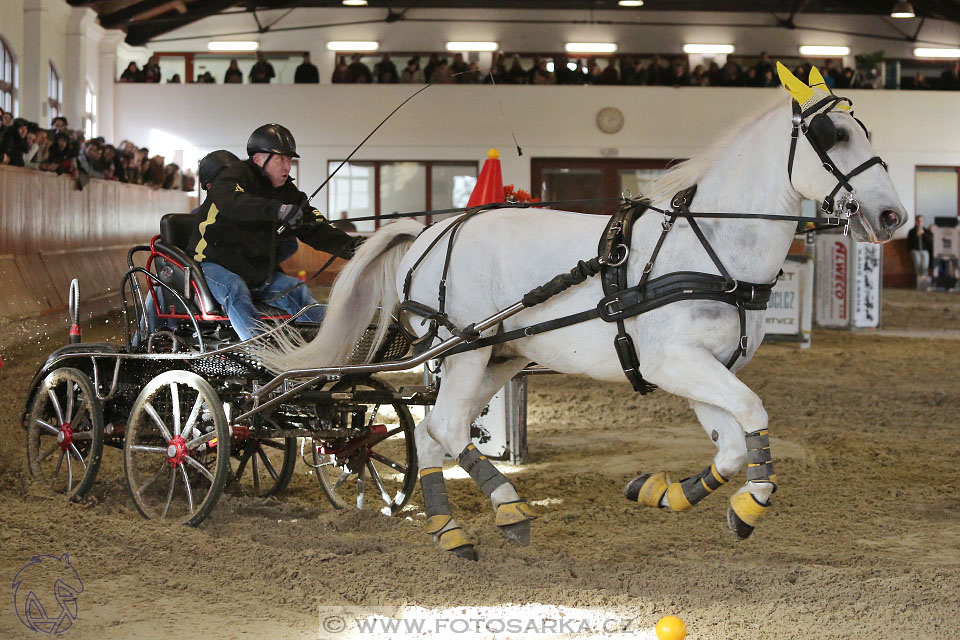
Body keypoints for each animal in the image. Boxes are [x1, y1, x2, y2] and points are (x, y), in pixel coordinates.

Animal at [258, 62, 904, 556]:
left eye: (866, 129)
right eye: (832, 135)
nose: (893, 215)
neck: (713, 246)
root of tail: (428, 232)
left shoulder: (706, 368)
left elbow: (734, 443)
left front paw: (661, 491)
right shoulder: (677, 362)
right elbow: (753, 414)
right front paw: (751, 506)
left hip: (498, 356)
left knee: (437, 433)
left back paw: (452, 530)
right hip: (462, 350)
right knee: (445, 427)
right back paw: (509, 509)